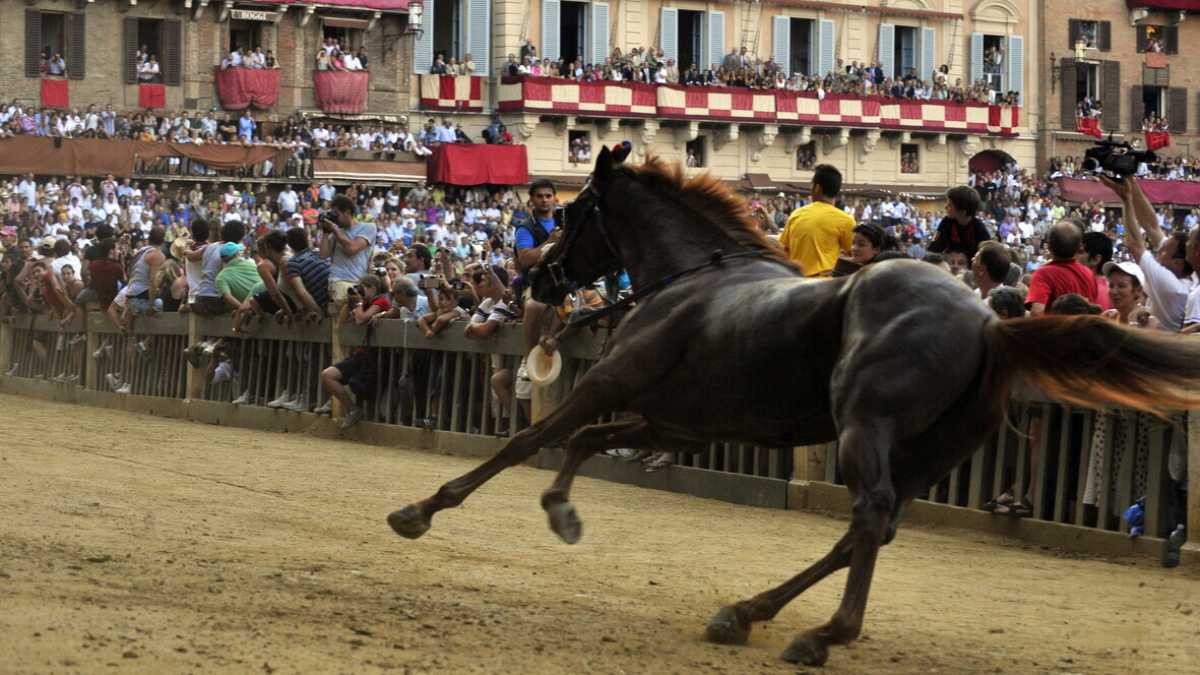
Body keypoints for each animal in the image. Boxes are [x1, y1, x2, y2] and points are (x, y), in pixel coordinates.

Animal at [387, 144, 1200, 666]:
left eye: (573, 210)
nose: (540, 277)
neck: (694, 278)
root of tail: (987, 322)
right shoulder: (677, 421)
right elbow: (585, 442)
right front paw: (562, 510)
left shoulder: (609, 383)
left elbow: (532, 439)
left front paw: (422, 508)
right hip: (929, 450)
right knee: (868, 530)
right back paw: (750, 612)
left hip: (863, 425)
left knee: (869, 515)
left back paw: (822, 633)